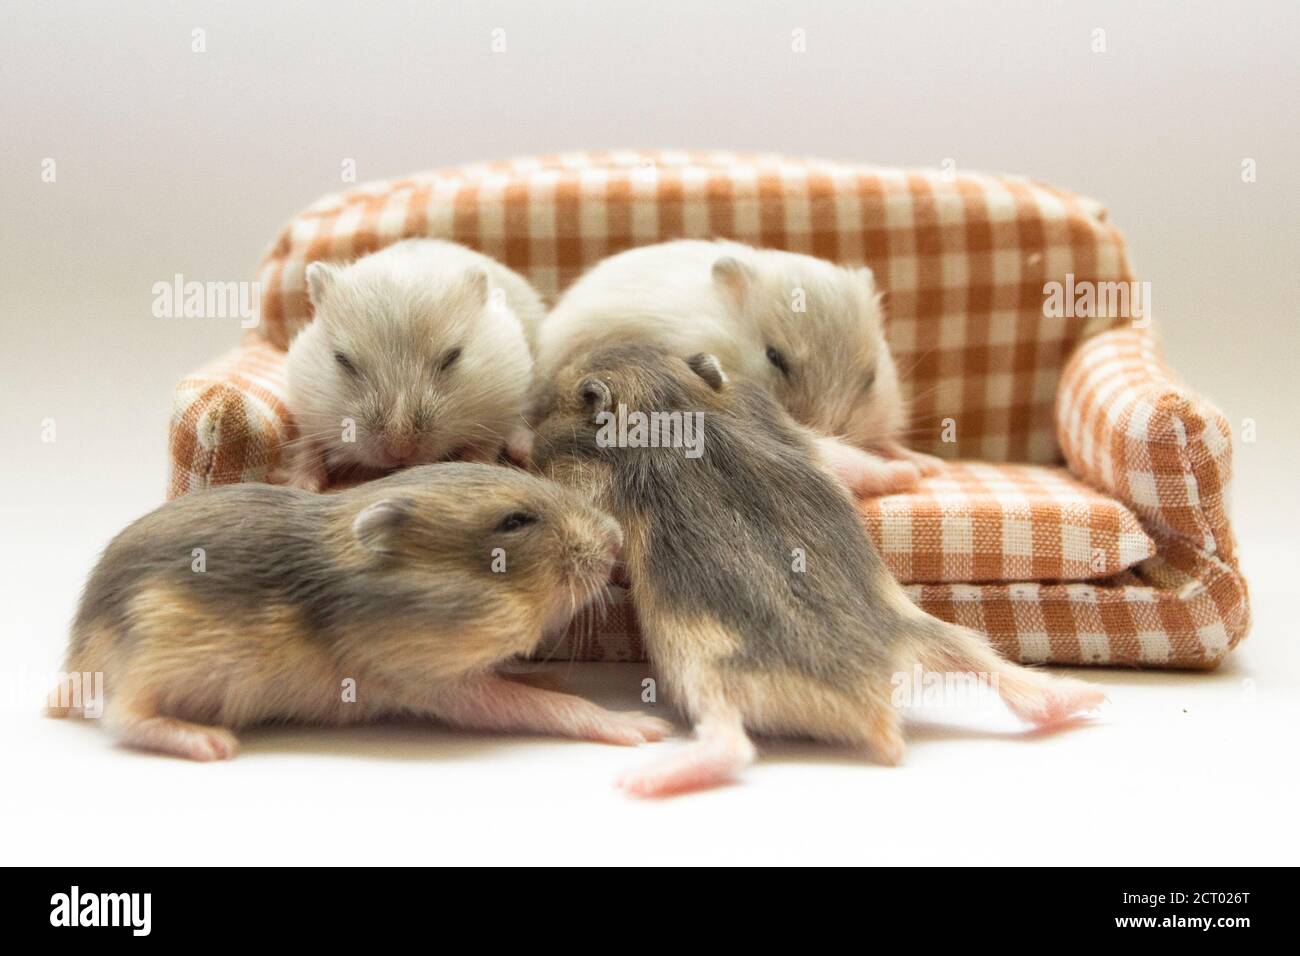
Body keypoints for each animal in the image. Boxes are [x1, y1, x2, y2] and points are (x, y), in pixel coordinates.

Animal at [48, 463, 670, 760]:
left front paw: (554, 672)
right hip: (156, 660)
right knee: (124, 717)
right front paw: (644, 727)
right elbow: (539, 706)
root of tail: (81, 651)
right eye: (515, 522)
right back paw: (210, 743)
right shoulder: (431, 680)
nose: (616, 540)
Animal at [278, 239, 545, 491]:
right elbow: (308, 444)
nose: (400, 451)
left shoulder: (501, 400)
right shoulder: (306, 404)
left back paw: (522, 450)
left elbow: (486, 443)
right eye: (342, 360)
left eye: (452, 356)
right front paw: (302, 485)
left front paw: (476, 466)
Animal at [531, 347, 1104, 796]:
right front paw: (916, 469)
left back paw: (641, 780)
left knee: (731, 745)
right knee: (1014, 683)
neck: (662, 398)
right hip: (948, 636)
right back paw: (1083, 698)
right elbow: (859, 463)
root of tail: (873, 704)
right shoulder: (800, 435)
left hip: (704, 676)